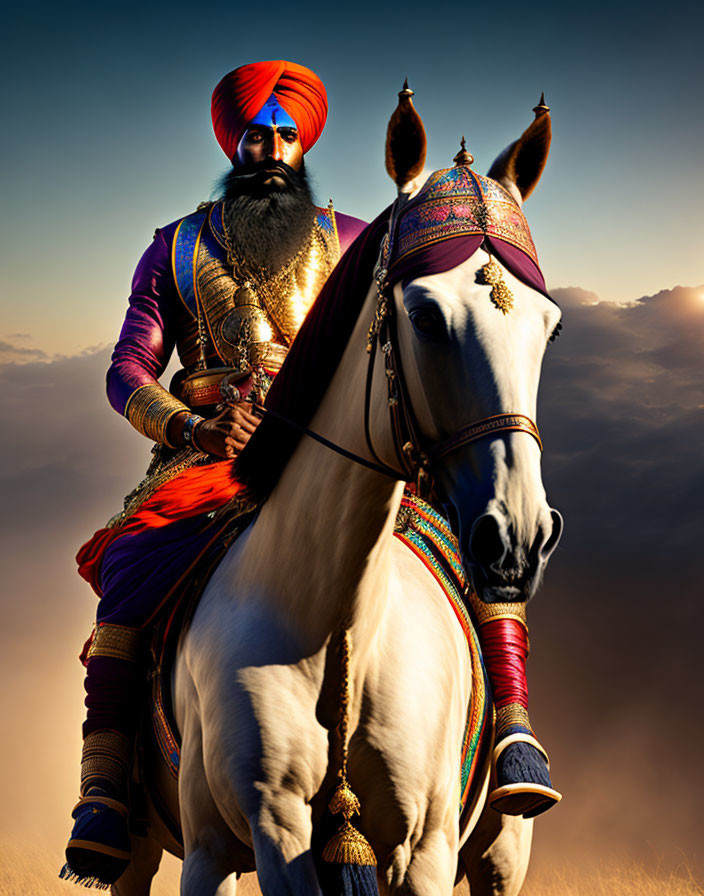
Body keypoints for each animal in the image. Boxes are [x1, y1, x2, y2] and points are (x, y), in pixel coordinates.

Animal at [118, 91, 564, 896]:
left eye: (550, 327)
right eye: (423, 315)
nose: (518, 535)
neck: (337, 622)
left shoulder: (425, 846)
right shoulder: (255, 835)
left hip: (502, 851)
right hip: (165, 849)